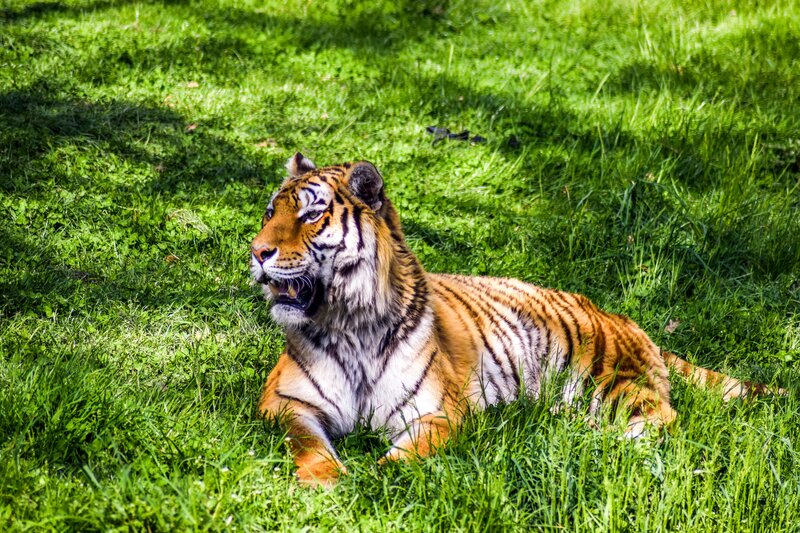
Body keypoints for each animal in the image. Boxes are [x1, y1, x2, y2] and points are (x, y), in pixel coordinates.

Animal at [250, 153, 785, 487]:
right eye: (270, 212)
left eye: (311, 216)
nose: (256, 252)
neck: (350, 321)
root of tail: (622, 316)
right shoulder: (285, 401)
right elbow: (308, 444)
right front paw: (326, 481)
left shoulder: (438, 413)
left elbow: (404, 458)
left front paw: (372, 478)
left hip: (610, 382)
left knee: (662, 421)